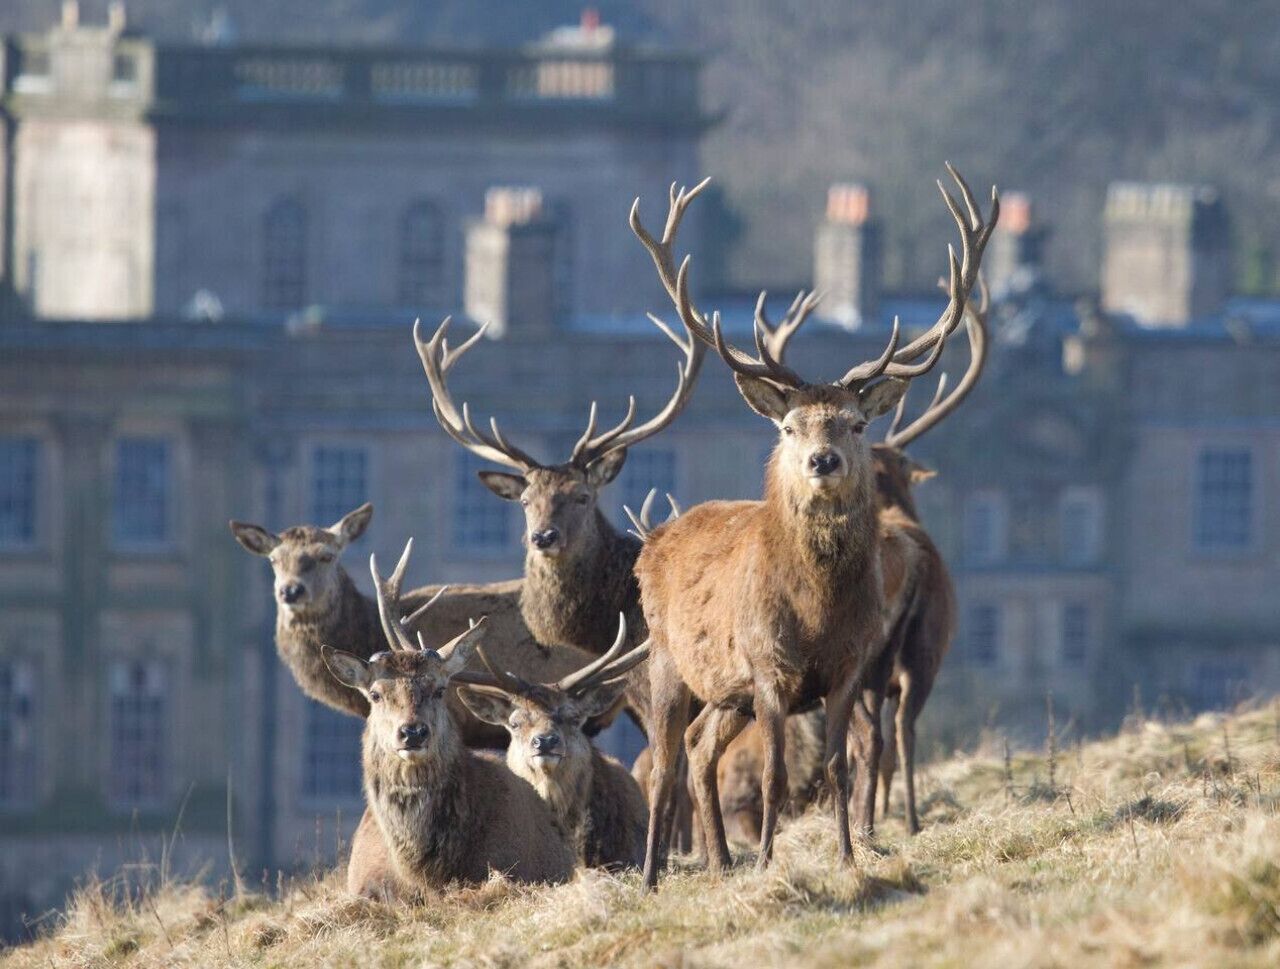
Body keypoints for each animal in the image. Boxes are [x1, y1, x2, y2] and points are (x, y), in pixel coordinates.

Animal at [628, 166, 997, 887]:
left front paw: (851, 856)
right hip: (666, 657)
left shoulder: (848, 666)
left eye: (854, 423)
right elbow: (775, 774)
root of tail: (653, 541)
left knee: (699, 749)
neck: (815, 608)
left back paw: (719, 862)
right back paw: (657, 874)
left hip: (729, 690)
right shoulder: (770, 667)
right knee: (662, 762)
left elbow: (838, 766)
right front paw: (771, 863)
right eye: (790, 427)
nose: (822, 460)